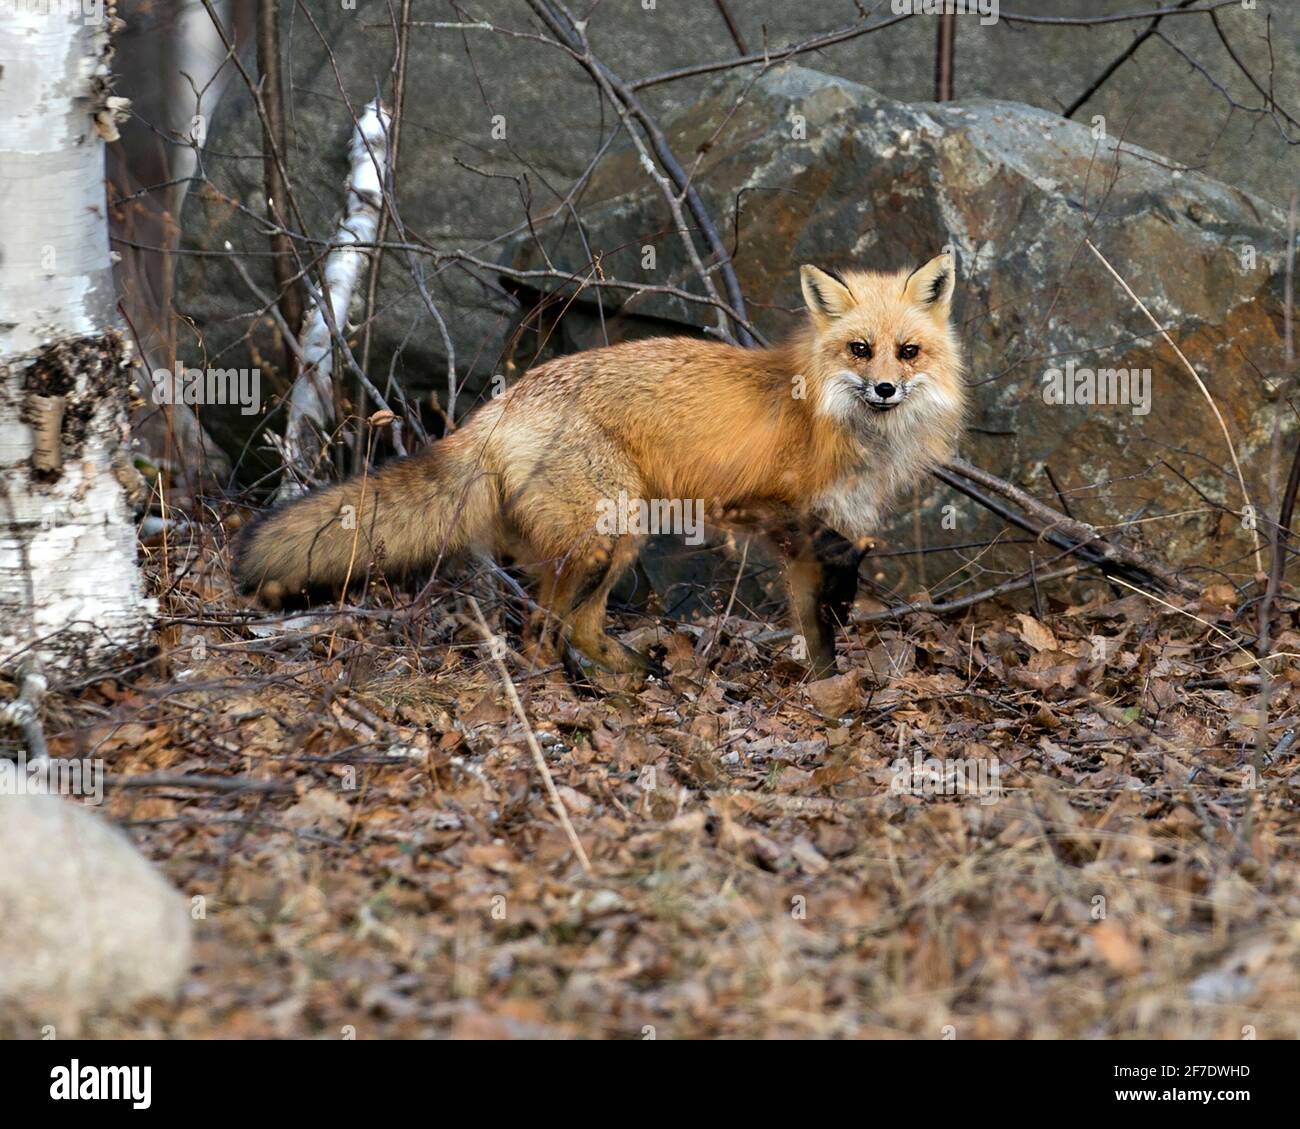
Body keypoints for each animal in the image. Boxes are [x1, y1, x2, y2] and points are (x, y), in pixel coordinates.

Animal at [233, 253, 967, 681]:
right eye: (859, 348)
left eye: (908, 351)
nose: (885, 389)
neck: (836, 420)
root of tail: (499, 406)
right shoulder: (774, 510)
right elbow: (827, 588)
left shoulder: (827, 533)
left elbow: (818, 624)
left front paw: (825, 685)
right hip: (610, 533)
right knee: (548, 631)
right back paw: (590, 692)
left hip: (602, 541)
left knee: (567, 627)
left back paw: (634, 679)